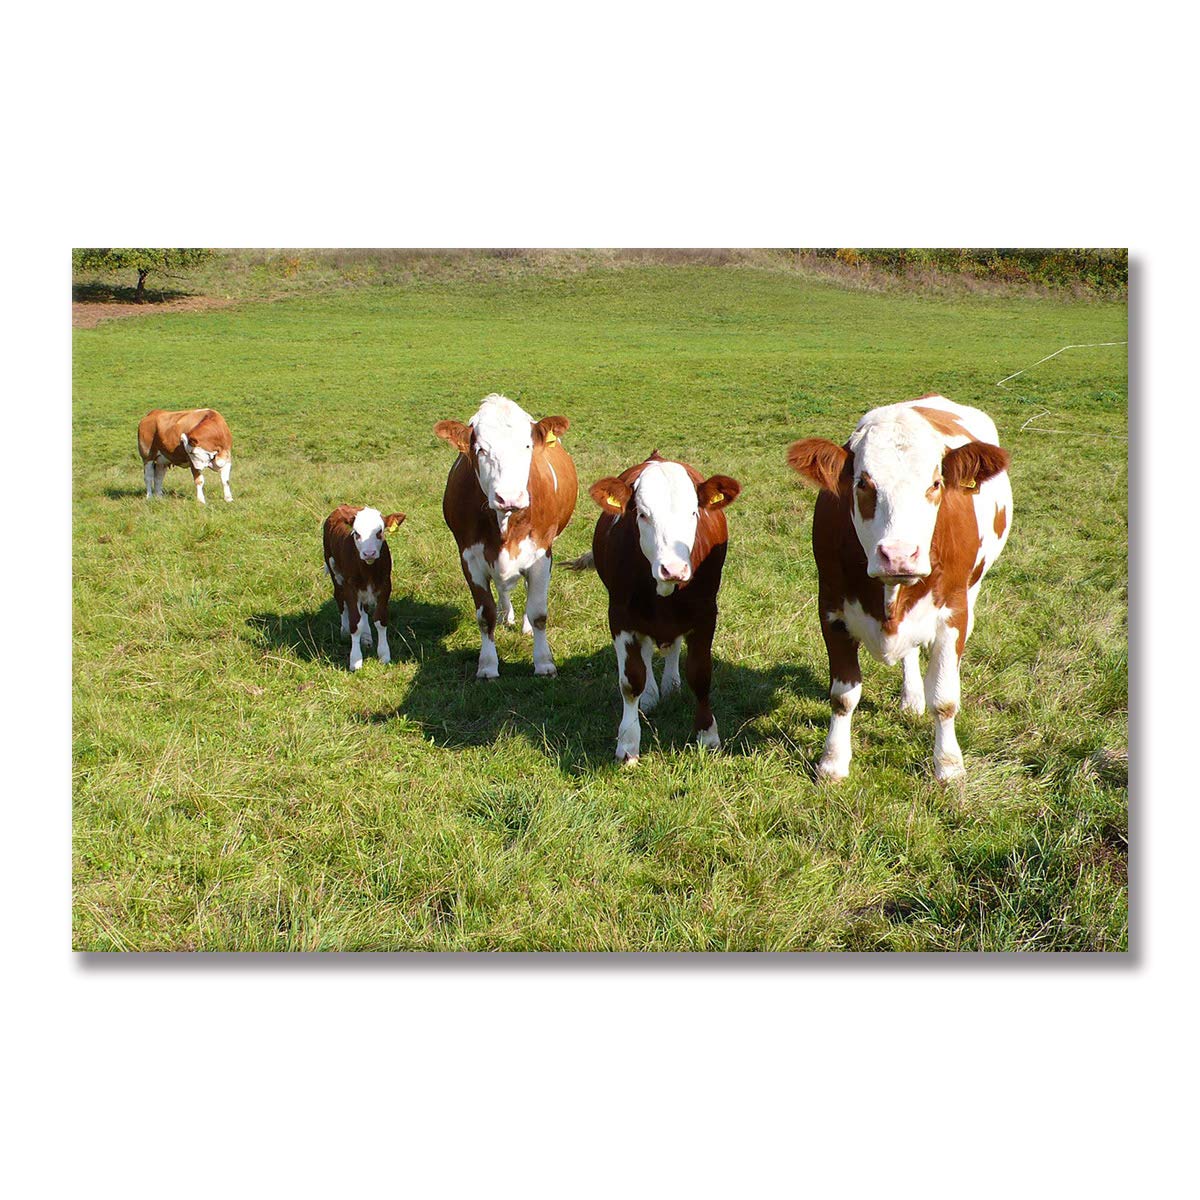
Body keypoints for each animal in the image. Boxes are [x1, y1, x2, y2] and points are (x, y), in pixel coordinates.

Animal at [322, 505, 406, 671]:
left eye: (379, 532)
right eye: (356, 533)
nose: (369, 553)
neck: (368, 570)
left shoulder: (385, 585)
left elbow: (380, 619)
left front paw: (384, 654)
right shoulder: (350, 586)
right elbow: (355, 623)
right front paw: (355, 660)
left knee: (364, 608)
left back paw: (367, 637)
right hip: (333, 568)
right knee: (340, 598)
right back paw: (344, 631)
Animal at [433, 394, 577, 679]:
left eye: (527, 446)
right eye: (481, 450)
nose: (509, 497)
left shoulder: (541, 554)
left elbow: (538, 612)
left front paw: (544, 662)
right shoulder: (470, 558)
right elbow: (484, 615)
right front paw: (488, 665)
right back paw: (505, 614)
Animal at [583, 452, 741, 764]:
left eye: (694, 513)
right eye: (643, 514)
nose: (674, 569)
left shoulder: (706, 613)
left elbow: (701, 674)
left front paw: (707, 735)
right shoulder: (620, 617)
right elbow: (631, 680)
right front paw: (628, 744)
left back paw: (670, 683)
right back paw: (651, 694)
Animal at [787, 394, 1012, 783]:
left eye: (935, 483)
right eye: (863, 483)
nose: (899, 555)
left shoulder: (953, 615)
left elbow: (944, 698)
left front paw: (948, 765)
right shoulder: (831, 609)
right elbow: (843, 695)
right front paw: (833, 762)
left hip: (973, 589)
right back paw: (911, 698)